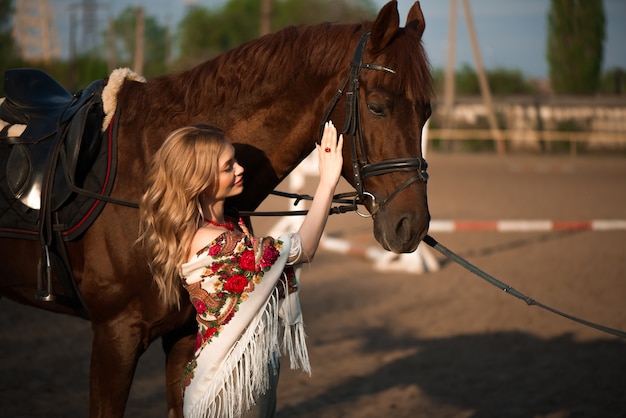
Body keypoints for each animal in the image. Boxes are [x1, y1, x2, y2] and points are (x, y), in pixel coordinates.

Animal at [0, 1, 428, 416]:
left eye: (425, 112)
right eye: (377, 107)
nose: (412, 226)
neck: (152, 174)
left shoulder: (183, 334)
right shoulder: (115, 335)